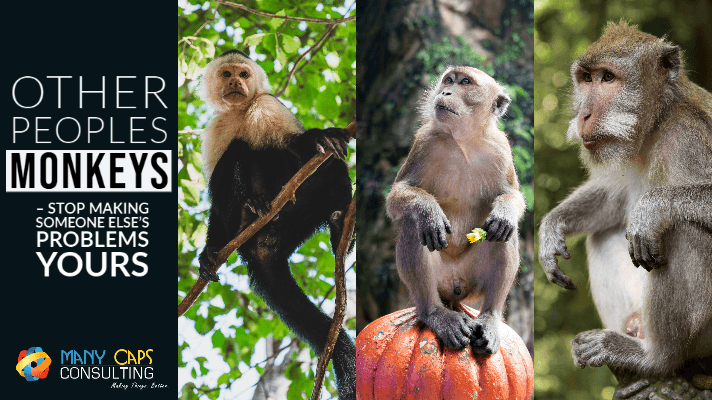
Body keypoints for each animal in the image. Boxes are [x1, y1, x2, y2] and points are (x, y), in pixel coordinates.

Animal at [196, 50, 355, 399]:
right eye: (226, 73)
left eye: (243, 74)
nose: (235, 83)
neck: (240, 112)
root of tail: (263, 248)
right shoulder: (214, 130)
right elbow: (216, 200)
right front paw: (208, 252)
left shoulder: (268, 105)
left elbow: (298, 149)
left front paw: (320, 137)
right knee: (236, 154)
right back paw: (248, 212)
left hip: (294, 221)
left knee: (322, 168)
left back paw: (339, 233)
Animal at [385, 66, 525, 354]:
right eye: (448, 81)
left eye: (465, 82)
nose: (446, 92)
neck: (464, 142)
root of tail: (454, 289)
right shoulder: (425, 141)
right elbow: (397, 197)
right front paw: (428, 210)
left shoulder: (501, 148)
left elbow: (512, 195)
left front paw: (505, 210)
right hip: (440, 279)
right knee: (413, 225)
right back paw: (435, 314)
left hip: (472, 279)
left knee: (504, 233)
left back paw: (490, 317)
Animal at [538, 22, 712, 378]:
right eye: (587, 78)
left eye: (608, 78)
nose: (583, 115)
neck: (658, 123)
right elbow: (613, 197)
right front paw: (551, 227)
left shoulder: (690, 138)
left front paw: (651, 207)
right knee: (602, 234)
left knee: (681, 231)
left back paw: (654, 357)